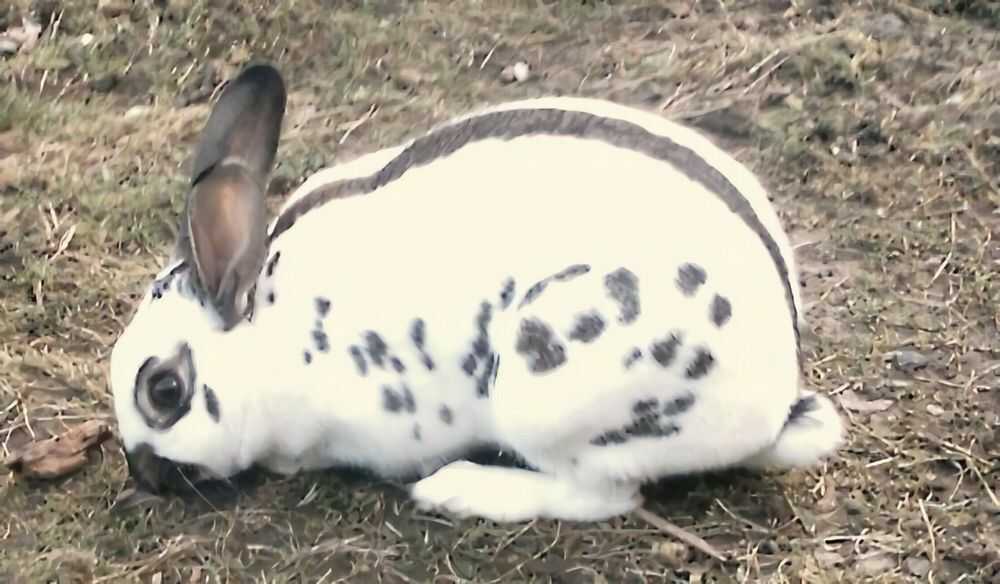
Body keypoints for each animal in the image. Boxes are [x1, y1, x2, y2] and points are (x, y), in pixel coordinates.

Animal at [109, 61, 844, 524]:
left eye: (163, 390)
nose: (145, 476)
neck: (266, 336)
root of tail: (777, 404)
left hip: (547, 390)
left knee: (606, 494)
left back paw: (459, 491)